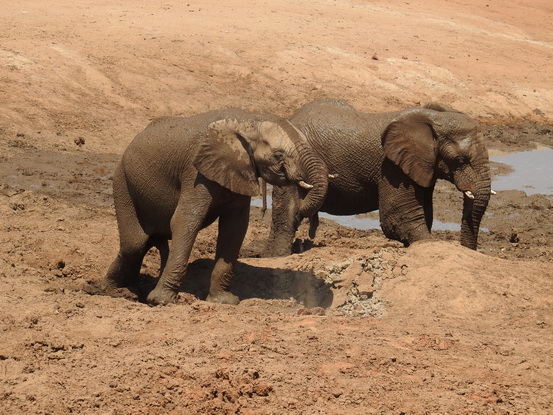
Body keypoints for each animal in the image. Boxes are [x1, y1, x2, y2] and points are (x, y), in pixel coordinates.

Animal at [103, 108, 329, 305]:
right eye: (278, 155)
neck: (248, 120)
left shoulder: (239, 170)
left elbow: (234, 228)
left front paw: (224, 301)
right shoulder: (196, 172)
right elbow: (185, 220)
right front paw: (161, 301)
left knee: (147, 242)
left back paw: (129, 290)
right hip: (122, 182)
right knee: (134, 244)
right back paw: (109, 291)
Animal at [265, 98, 491, 256]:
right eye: (460, 160)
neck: (430, 120)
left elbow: (424, 214)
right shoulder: (392, 168)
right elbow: (399, 217)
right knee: (287, 217)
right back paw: (280, 258)